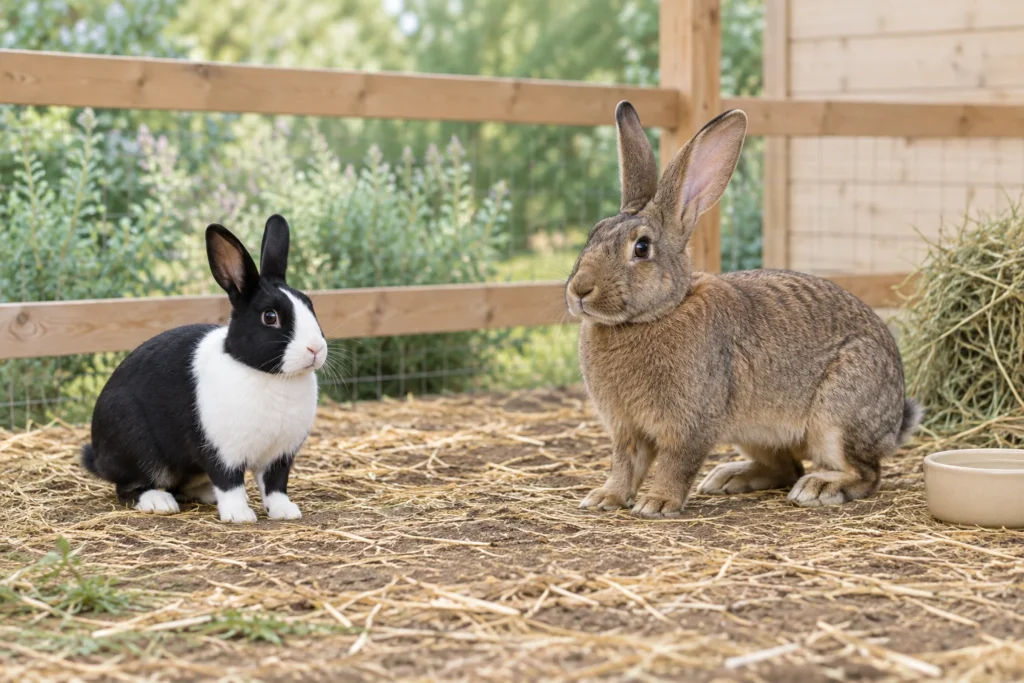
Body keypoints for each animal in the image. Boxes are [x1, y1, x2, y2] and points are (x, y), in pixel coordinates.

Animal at [81, 214, 328, 523]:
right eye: (270, 317)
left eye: (310, 305)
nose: (315, 349)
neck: (268, 375)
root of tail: (97, 457)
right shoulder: (222, 451)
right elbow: (230, 483)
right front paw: (239, 516)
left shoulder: (279, 456)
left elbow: (275, 485)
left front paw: (286, 512)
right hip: (136, 446)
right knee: (129, 488)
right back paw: (159, 502)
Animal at [566, 102, 921, 518]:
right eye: (594, 233)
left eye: (641, 248)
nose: (579, 290)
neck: (657, 313)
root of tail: (895, 420)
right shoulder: (627, 430)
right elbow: (624, 465)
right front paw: (604, 497)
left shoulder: (691, 424)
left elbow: (675, 463)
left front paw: (657, 503)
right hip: (753, 432)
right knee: (786, 467)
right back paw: (728, 478)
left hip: (837, 416)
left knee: (865, 472)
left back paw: (819, 488)